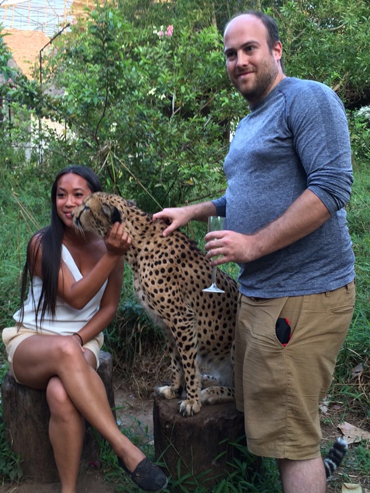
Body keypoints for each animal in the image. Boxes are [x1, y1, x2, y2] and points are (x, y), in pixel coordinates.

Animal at [73, 192, 238, 416]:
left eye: (86, 208)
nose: (72, 215)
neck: (137, 244)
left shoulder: (181, 318)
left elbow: (188, 363)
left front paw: (192, 401)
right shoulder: (167, 324)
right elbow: (177, 361)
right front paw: (175, 389)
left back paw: (211, 392)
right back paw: (206, 381)